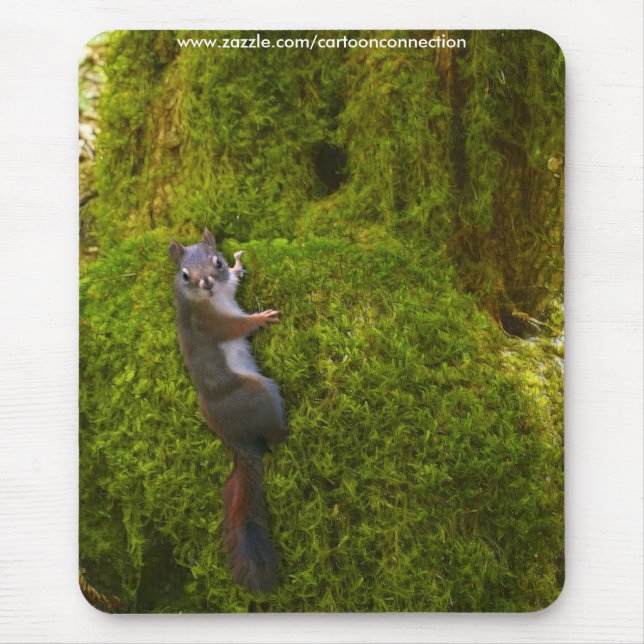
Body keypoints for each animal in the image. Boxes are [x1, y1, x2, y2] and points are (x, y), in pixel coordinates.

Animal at [169, 228, 289, 594]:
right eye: (184, 275)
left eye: (217, 262)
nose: (207, 283)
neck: (211, 299)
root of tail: (237, 440)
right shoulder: (210, 323)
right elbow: (235, 328)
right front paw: (261, 318)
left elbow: (235, 282)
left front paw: (238, 265)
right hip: (258, 395)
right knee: (274, 439)